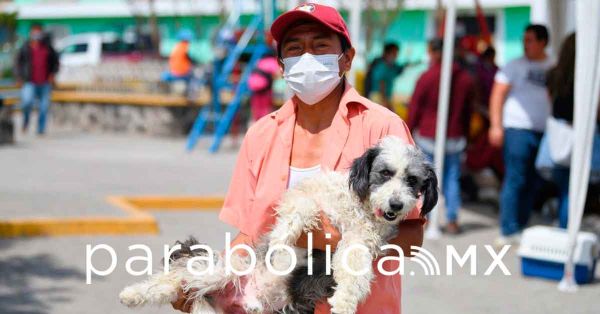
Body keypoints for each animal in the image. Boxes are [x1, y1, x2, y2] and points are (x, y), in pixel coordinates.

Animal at [119, 136, 438, 314]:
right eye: (385, 173)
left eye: (412, 180)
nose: (396, 206)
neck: (358, 207)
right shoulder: (305, 198)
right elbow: (302, 211)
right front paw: (282, 245)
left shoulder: (359, 243)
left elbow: (355, 272)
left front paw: (345, 302)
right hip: (220, 271)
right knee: (176, 278)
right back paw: (132, 294)